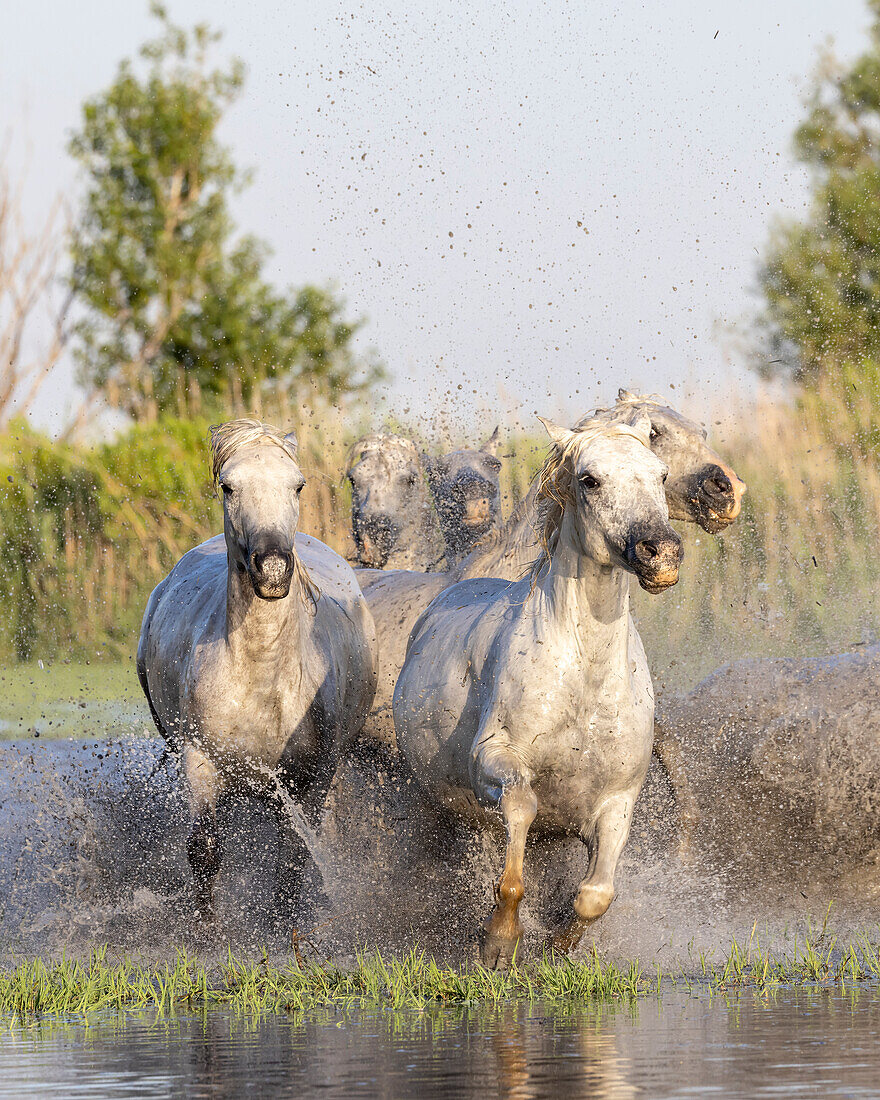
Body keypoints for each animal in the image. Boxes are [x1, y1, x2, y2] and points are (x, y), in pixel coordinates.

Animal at [135, 418, 376, 919]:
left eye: (297, 485)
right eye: (229, 487)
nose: (273, 570)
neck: (262, 679)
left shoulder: (314, 776)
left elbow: (294, 859)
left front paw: (284, 930)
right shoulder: (200, 762)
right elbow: (205, 851)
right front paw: (205, 929)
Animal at [396, 413, 682, 963]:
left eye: (660, 474)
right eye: (589, 480)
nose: (661, 553)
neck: (584, 679)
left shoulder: (618, 800)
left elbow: (596, 894)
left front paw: (555, 945)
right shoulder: (496, 760)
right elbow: (519, 830)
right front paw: (499, 943)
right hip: (442, 809)